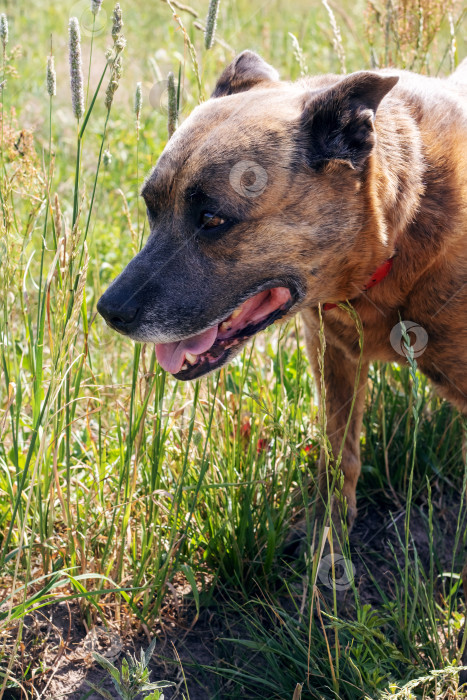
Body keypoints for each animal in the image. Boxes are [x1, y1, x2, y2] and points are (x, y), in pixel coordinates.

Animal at [98, 49, 467, 672]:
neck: (403, 225)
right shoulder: (332, 350)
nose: (108, 310)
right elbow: (339, 459)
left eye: (214, 219)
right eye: (151, 207)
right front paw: (326, 547)